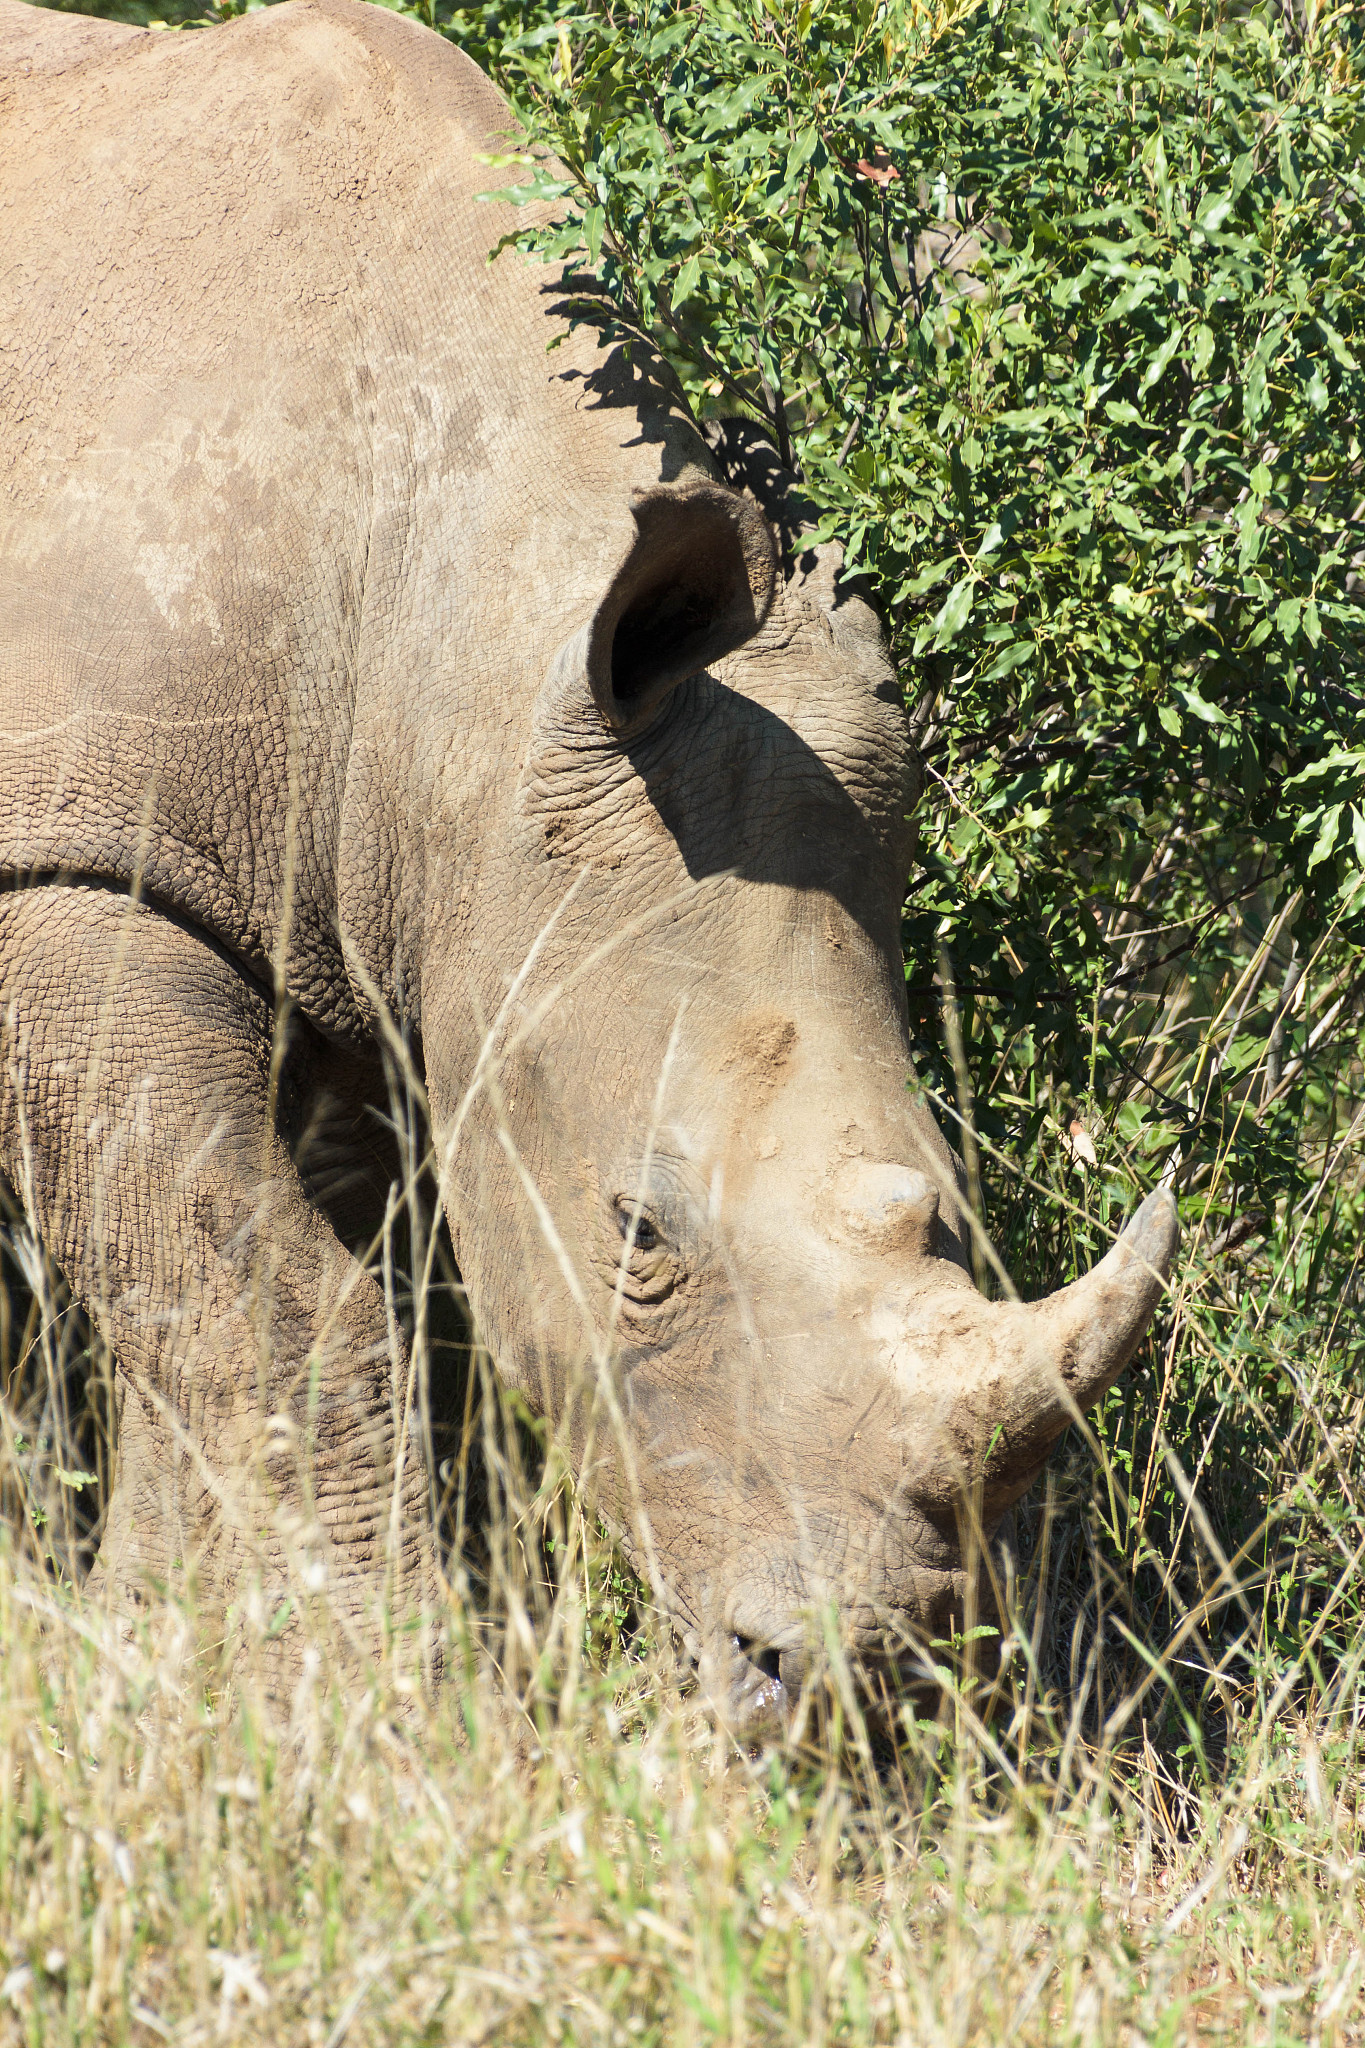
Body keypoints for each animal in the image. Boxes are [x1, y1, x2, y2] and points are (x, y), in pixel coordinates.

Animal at [0, 0, 1176, 1722]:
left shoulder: (372, 931)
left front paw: (188, 1668)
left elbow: (210, 1307)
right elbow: (281, 1311)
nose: (842, 1679)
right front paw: (390, 1703)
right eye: (638, 1237)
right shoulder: (73, 867)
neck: (456, 645)